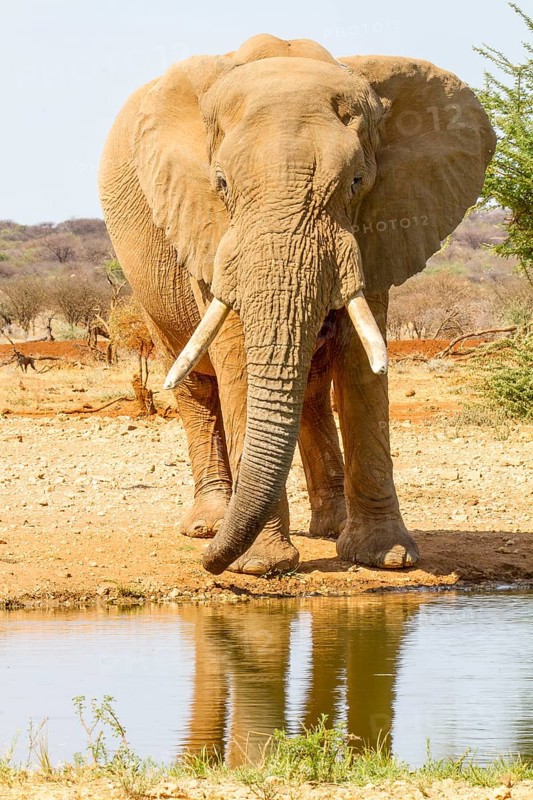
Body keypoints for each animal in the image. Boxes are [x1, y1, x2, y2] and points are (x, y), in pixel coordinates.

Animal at [99, 34, 495, 576]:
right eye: (221, 184)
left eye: (356, 183)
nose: (208, 564)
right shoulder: (208, 231)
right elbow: (238, 356)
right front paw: (258, 566)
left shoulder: (378, 226)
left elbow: (361, 362)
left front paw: (388, 559)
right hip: (149, 286)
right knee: (196, 385)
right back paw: (209, 525)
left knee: (310, 389)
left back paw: (326, 528)